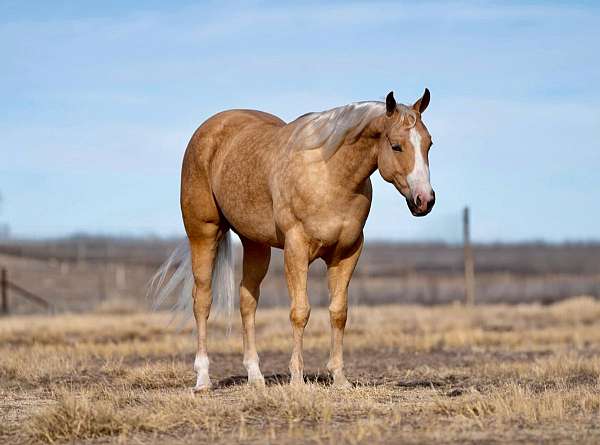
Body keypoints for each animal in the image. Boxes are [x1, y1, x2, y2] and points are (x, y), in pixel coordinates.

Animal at [155, 89, 436, 388]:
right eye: (396, 146)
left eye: (429, 144)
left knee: (247, 301)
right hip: (203, 232)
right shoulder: (296, 248)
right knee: (202, 300)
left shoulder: (347, 253)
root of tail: (209, 128)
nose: (424, 200)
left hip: (256, 244)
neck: (329, 174)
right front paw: (297, 379)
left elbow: (339, 312)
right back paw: (203, 378)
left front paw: (339, 378)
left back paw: (255, 376)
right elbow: (300, 312)